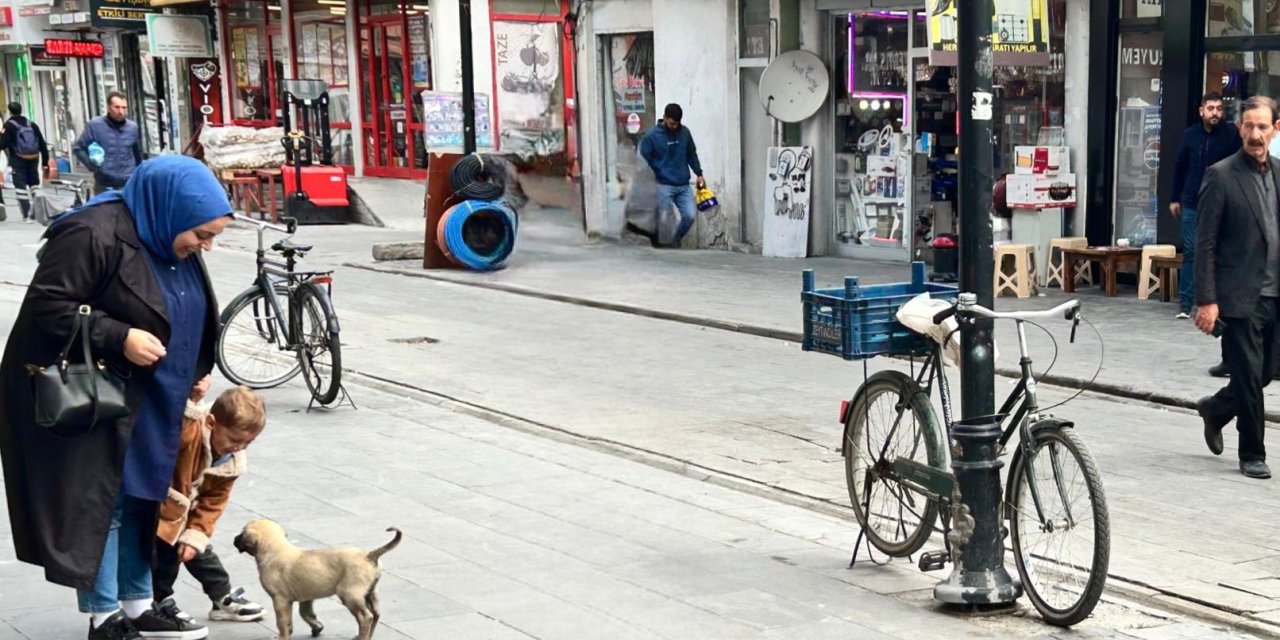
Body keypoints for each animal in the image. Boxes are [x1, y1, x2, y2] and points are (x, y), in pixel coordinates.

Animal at [234, 519, 399, 640]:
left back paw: (361, 637)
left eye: (242, 533)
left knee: (365, 617)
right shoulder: (306, 596)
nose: (234, 538)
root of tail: (370, 555)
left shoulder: (279, 600)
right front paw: (316, 627)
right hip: (371, 592)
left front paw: (282, 636)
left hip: (350, 594)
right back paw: (368, 636)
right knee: (376, 615)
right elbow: (304, 614)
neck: (274, 549)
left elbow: (282, 622)